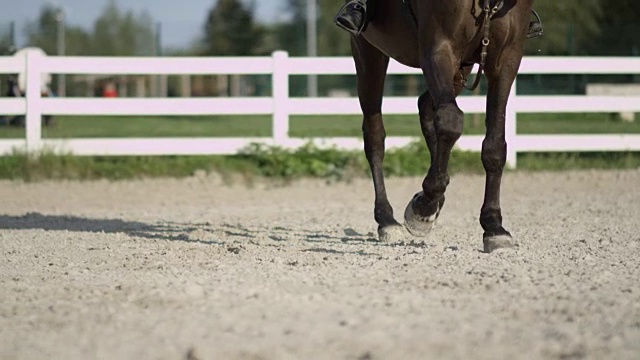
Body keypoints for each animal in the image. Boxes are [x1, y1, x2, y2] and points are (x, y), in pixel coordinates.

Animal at [350, 0, 528, 252]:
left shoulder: (507, 58)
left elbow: (494, 146)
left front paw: (494, 226)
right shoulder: (439, 47)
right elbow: (451, 122)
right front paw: (422, 209)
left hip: (461, 68)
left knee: (426, 106)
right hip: (368, 50)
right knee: (375, 136)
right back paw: (387, 219)